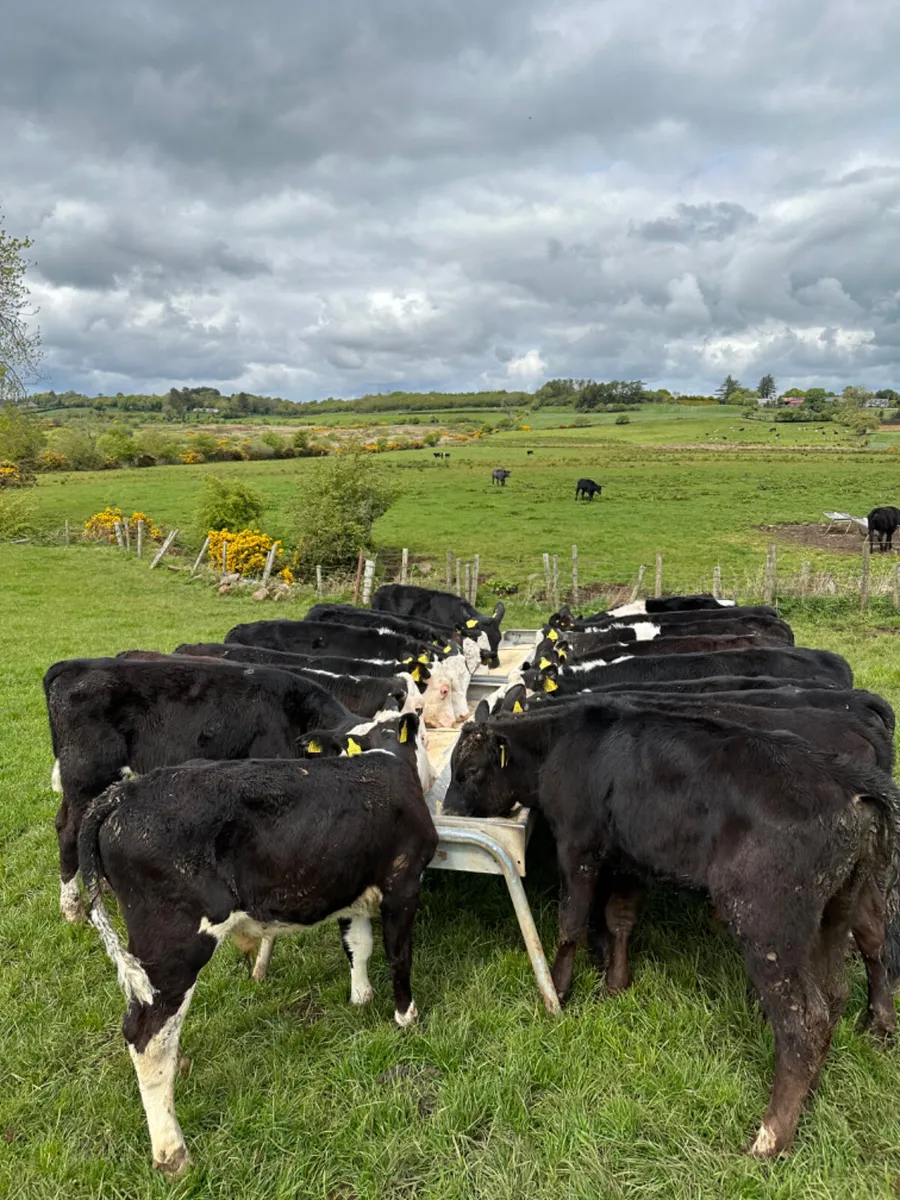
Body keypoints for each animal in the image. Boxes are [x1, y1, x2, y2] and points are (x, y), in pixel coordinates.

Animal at [78, 714, 438, 1174]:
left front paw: (361, 995)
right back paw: (172, 1152)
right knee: (146, 1035)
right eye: (423, 734)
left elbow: (358, 944)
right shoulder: (403, 884)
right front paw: (406, 1017)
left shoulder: (349, 887)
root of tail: (125, 792)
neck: (384, 761)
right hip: (174, 947)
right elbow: (398, 955)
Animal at [442, 700, 900, 1157]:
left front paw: (557, 990)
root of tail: (848, 784)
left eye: (471, 771)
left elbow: (571, 922)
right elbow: (619, 919)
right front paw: (615, 983)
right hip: (836, 911)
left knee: (803, 1020)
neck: (561, 742)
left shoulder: (577, 846)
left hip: (766, 923)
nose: (451, 814)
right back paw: (823, 1078)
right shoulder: (629, 858)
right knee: (841, 985)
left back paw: (770, 1138)